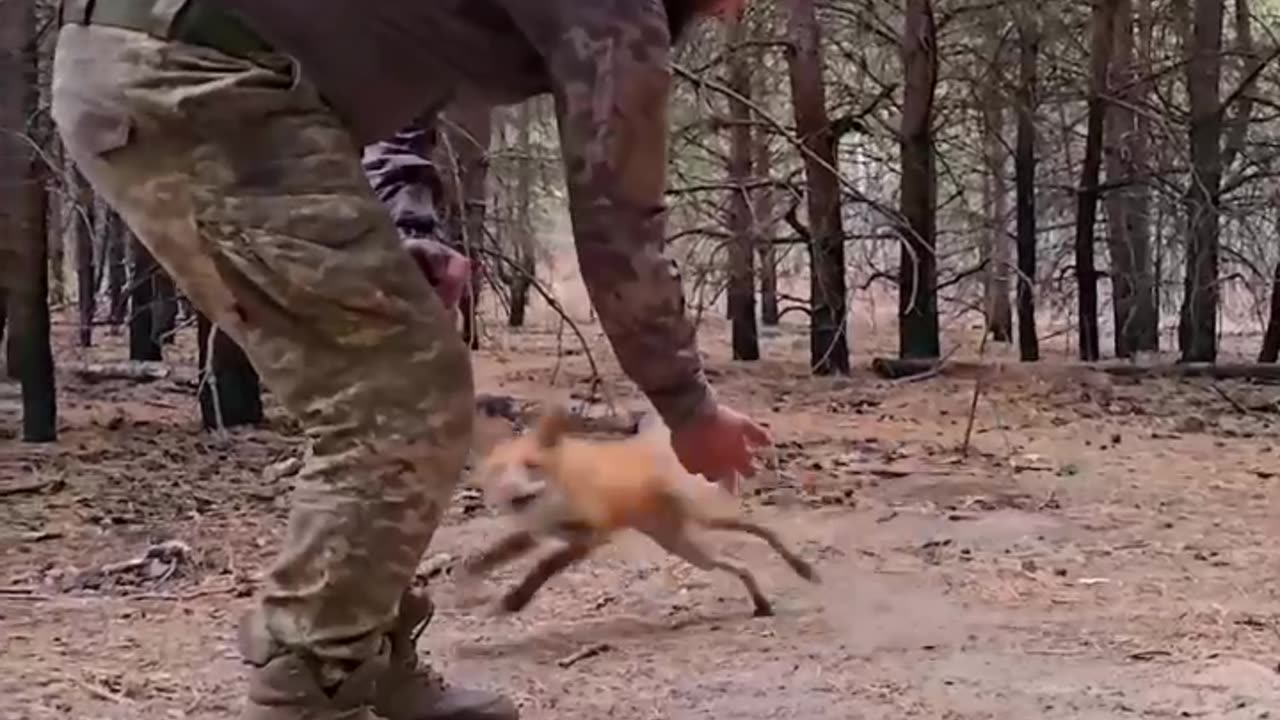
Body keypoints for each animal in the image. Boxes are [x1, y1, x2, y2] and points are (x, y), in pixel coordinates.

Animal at [463, 407, 819, 614]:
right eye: (498, 471)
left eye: (532, 466)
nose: (511, 490)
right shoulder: (539, 530)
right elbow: (498, 553)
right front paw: (468, 574)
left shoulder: (594, 533)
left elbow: (546, 565)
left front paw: (517, 598)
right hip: (688, 548)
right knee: (739, 564)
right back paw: (761, 602)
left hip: (704, 525)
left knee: (763, 531)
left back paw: (800, 567)